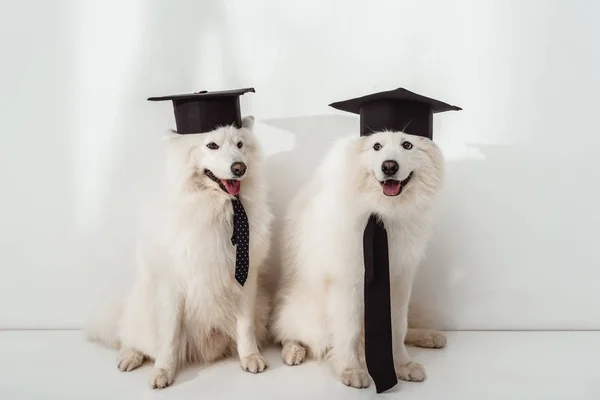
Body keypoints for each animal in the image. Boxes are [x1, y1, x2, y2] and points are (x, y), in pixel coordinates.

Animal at [84, 116, 272, 390]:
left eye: (240, 144)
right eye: (212, 145)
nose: (240, 168)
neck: (217, 207)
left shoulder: (246, 278)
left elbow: (245, 326)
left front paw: (250, 357)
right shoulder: (172, 285)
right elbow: (169, 336)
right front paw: (163, 371)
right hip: (142, 310)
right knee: (131, 337)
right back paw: (129, 356)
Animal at [272, 130, 446, 388]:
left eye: (407, 145)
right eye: (377, 146)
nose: (389, 166)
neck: (383, 212)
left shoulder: (399, 281)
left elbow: (398, 328)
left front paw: (403, 364)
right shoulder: (348, 283)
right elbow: (349, 331)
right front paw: (350, 369)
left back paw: (429, 336)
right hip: (306, 314)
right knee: (287, 332)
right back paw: (293, 350)